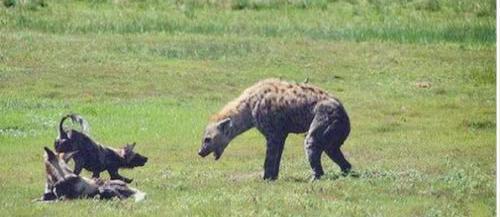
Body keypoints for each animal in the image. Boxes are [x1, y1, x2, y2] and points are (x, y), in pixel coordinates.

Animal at [199, 79, 352, 181]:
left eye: (207, 139)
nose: (200, 152)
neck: (248, 107)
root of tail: (343, 111)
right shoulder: (281, 132)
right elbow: (277, 153)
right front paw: (273, 177)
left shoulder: (272, 131)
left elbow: (270, 154)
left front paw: (265, 177)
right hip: (334, 132)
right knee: (333, 150)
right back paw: (345, 173)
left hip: (324, 116)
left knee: (312, 142)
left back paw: (314, 178)